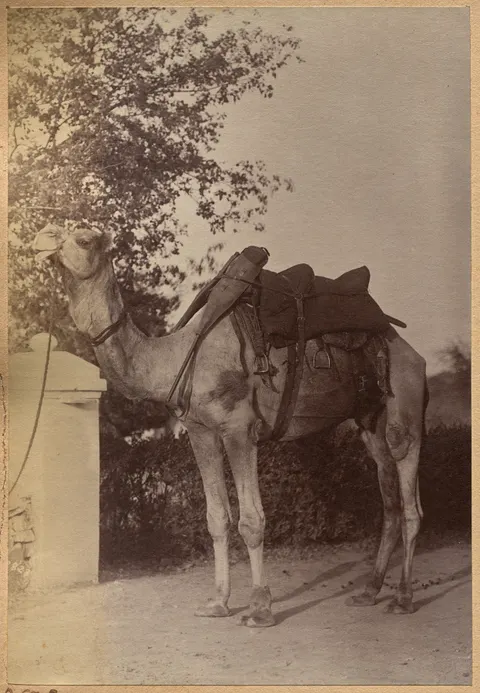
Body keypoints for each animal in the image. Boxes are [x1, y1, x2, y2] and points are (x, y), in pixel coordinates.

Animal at [34, 223, 427, 626]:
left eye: (83, 238)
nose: (40, 238)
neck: (175, 358)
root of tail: (408, 346)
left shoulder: (239, 429)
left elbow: (251, 520)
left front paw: (259, 607)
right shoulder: (200, 431)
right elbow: (216, 518)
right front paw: (218, 602)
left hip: (404, 401)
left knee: (411, 497)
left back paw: (403, 597)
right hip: (368, 420)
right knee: (390, 499)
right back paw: (369, 591)